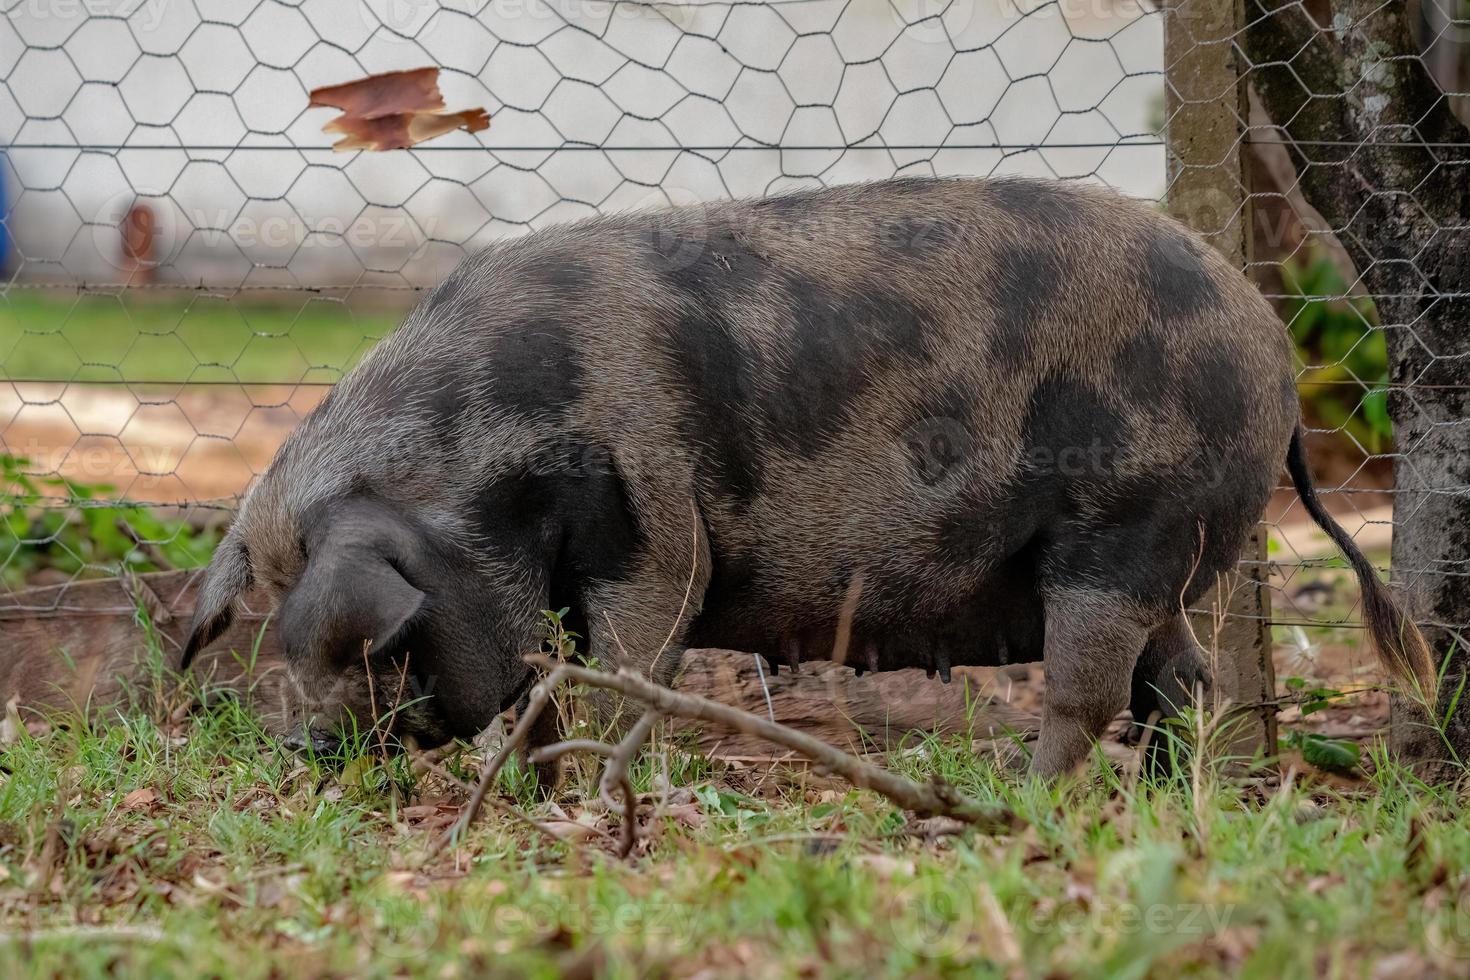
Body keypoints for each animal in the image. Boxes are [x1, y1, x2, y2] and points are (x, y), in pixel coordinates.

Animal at [177, 174, 1428, 775]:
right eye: (273, 632)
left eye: (373, 649)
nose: (299, 748)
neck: (484, 458)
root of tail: (1273, 348)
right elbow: (548, 685)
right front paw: (539, 789)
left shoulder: (655, 532)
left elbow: (630, 667)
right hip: (1164, 553)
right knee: (1185, 685)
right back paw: (1175, 804)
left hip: (1127, 529)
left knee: (1093, 691)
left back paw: (1018, 804)